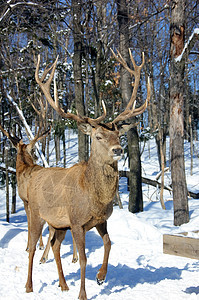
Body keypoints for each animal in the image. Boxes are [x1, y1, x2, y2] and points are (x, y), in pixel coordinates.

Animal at [24, 48, 149, 298]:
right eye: (98, 136)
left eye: (118, 135)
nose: (118, 150)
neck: (93, 197)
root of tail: (34, 175)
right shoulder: (76, 221)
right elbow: (82, 259)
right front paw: (83, 294)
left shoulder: (99, 221)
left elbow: (109, 243)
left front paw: (101, 277)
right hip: (35, 213)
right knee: (32, 247)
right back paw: (29, 286)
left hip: (58, 223)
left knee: (55, 245)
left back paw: (63, 284)